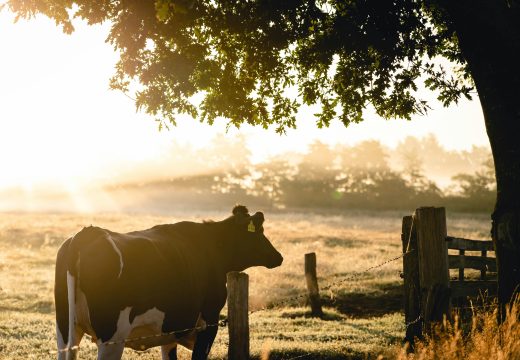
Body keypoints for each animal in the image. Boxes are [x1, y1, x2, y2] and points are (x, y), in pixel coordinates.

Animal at [54, 205, 282, 360]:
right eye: (259, 232)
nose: (278, 257)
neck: (212, 247)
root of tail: (88, 233)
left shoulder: (171, 330)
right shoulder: (208, 321)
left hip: (65, 330)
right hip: (112, 337)